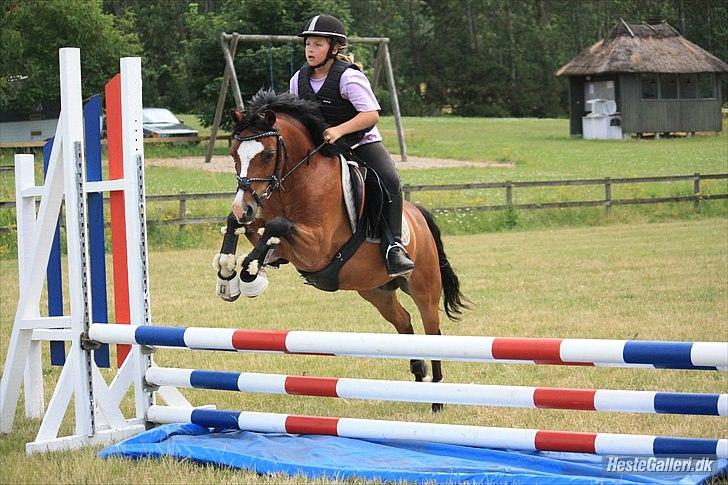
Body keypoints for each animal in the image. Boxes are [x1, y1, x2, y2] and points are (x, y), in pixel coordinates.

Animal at [213, 91, 469, 411]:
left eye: (268, 155)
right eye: (234, 154)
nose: (243, 206)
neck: (296, 182)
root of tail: (418, 215)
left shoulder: (317, 246)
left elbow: (276, 225)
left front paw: (249, 277)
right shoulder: (266, 229)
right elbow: (243, 226)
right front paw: (227, 274)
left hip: (424, 285)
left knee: (432, 330)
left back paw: (436, 398)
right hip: (375, 290)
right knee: (404, 321)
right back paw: (418, 375)